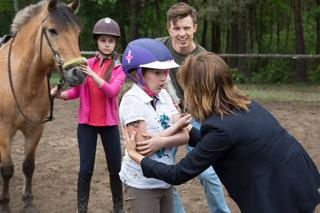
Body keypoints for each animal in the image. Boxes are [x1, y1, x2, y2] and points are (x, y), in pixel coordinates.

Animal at [0, 0, 85, 211]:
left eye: (77, 32)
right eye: (53, 31)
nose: (78, 74)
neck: (24, 82)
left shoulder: (36, 129)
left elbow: (28, 165)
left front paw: (28, 202)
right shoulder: (3, 130)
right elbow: (7, 169)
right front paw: (4, 204)